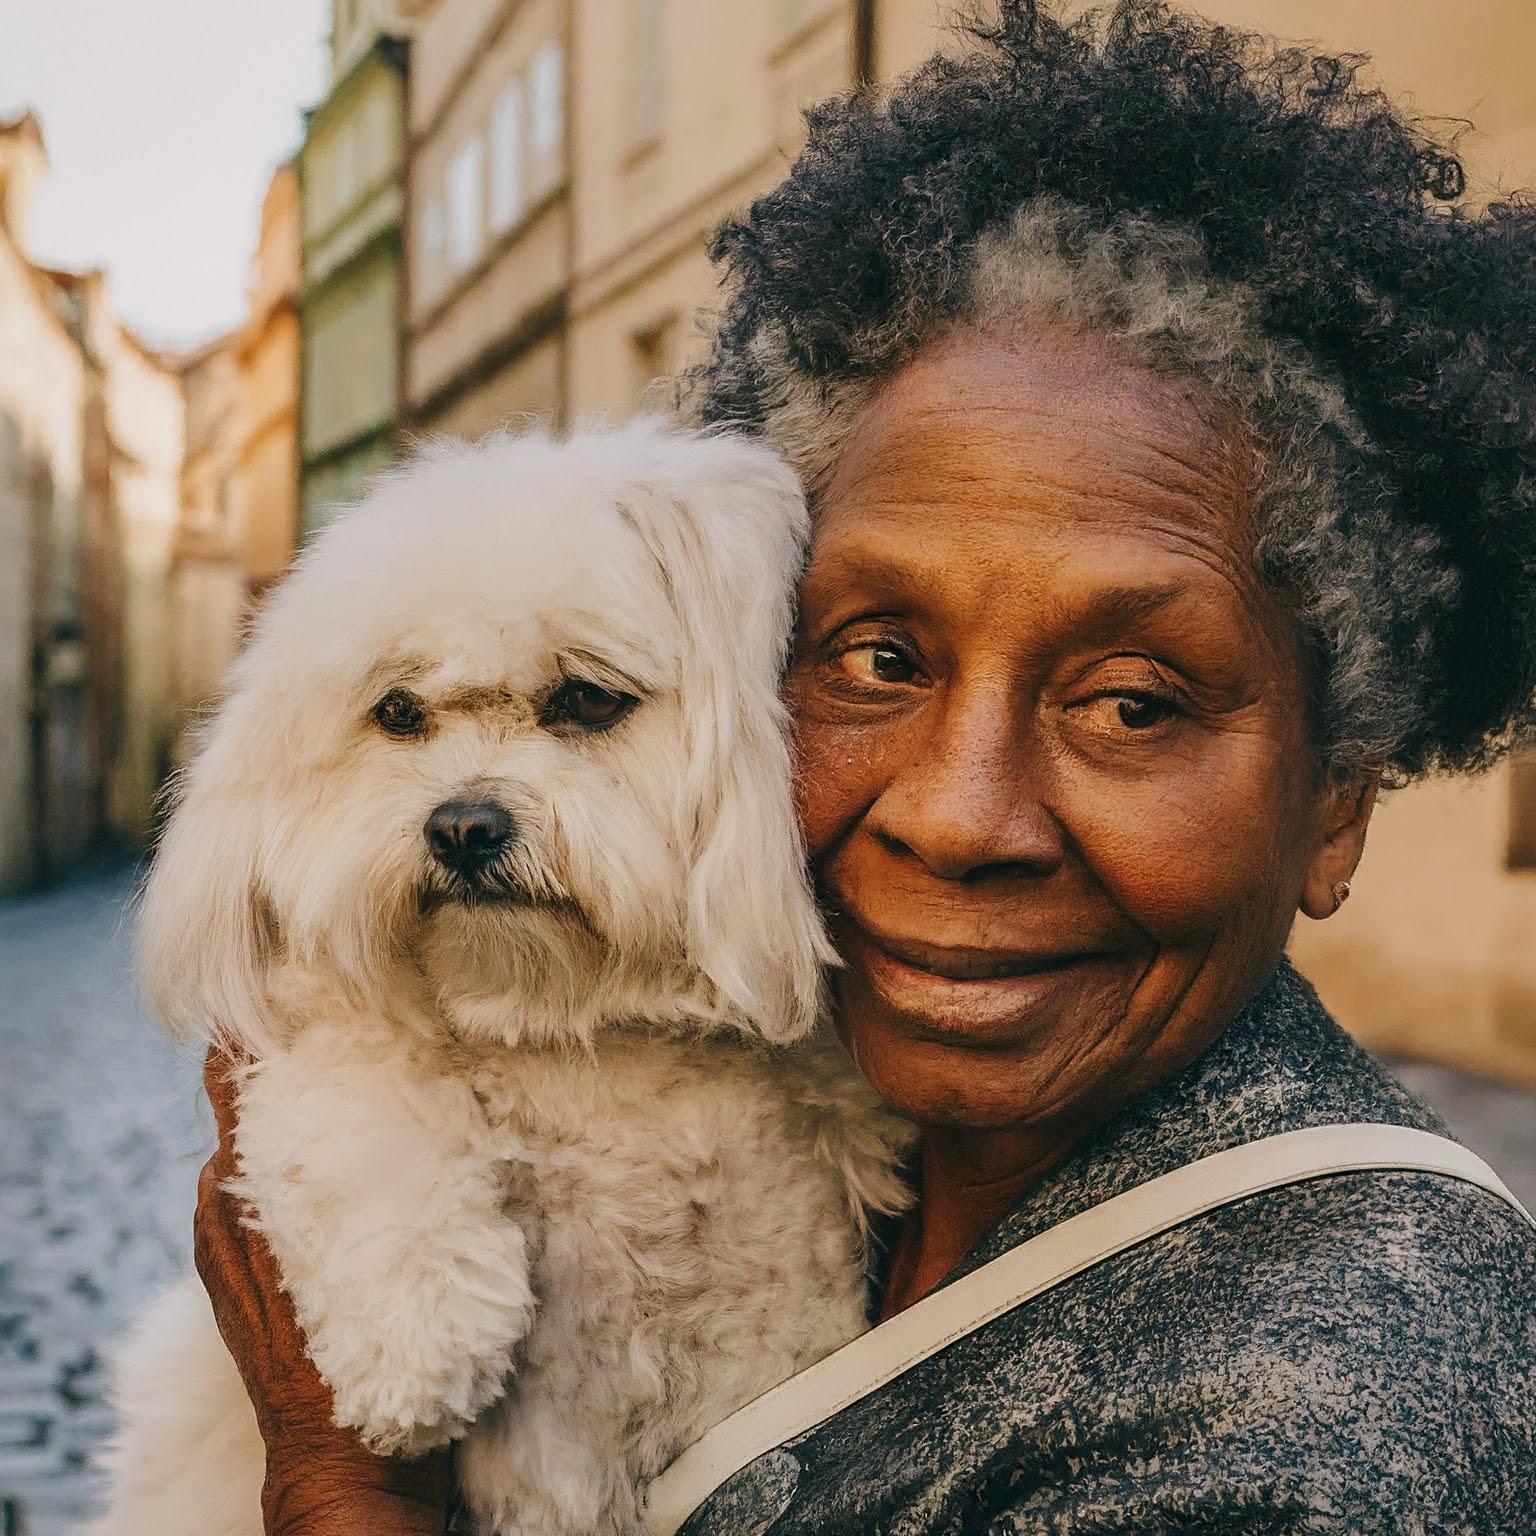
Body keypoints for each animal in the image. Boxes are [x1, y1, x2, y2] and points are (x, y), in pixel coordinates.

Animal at [96, 420, 909, 1536]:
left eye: (587, 698)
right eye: (397, 711)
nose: (463, 826)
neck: (566, 1031)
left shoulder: (763, 1314)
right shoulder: (310, 1047)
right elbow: (356, 1099)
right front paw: (417, 1334)